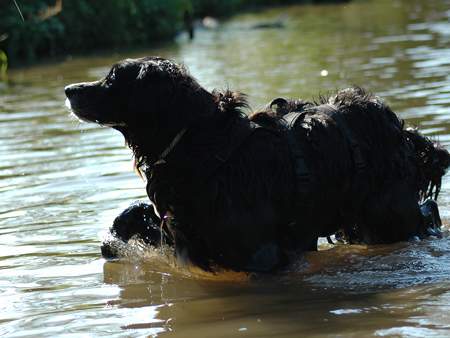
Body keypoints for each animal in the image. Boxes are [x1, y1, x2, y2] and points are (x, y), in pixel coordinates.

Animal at [65, 56, 448, 272]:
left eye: (113, 79)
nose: (69, 89)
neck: (202, 144)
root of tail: (398, 127)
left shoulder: (261, 255)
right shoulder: (188, 232)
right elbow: (135, 216)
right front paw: (113, 239)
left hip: (386, 215)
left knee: (425, 214)